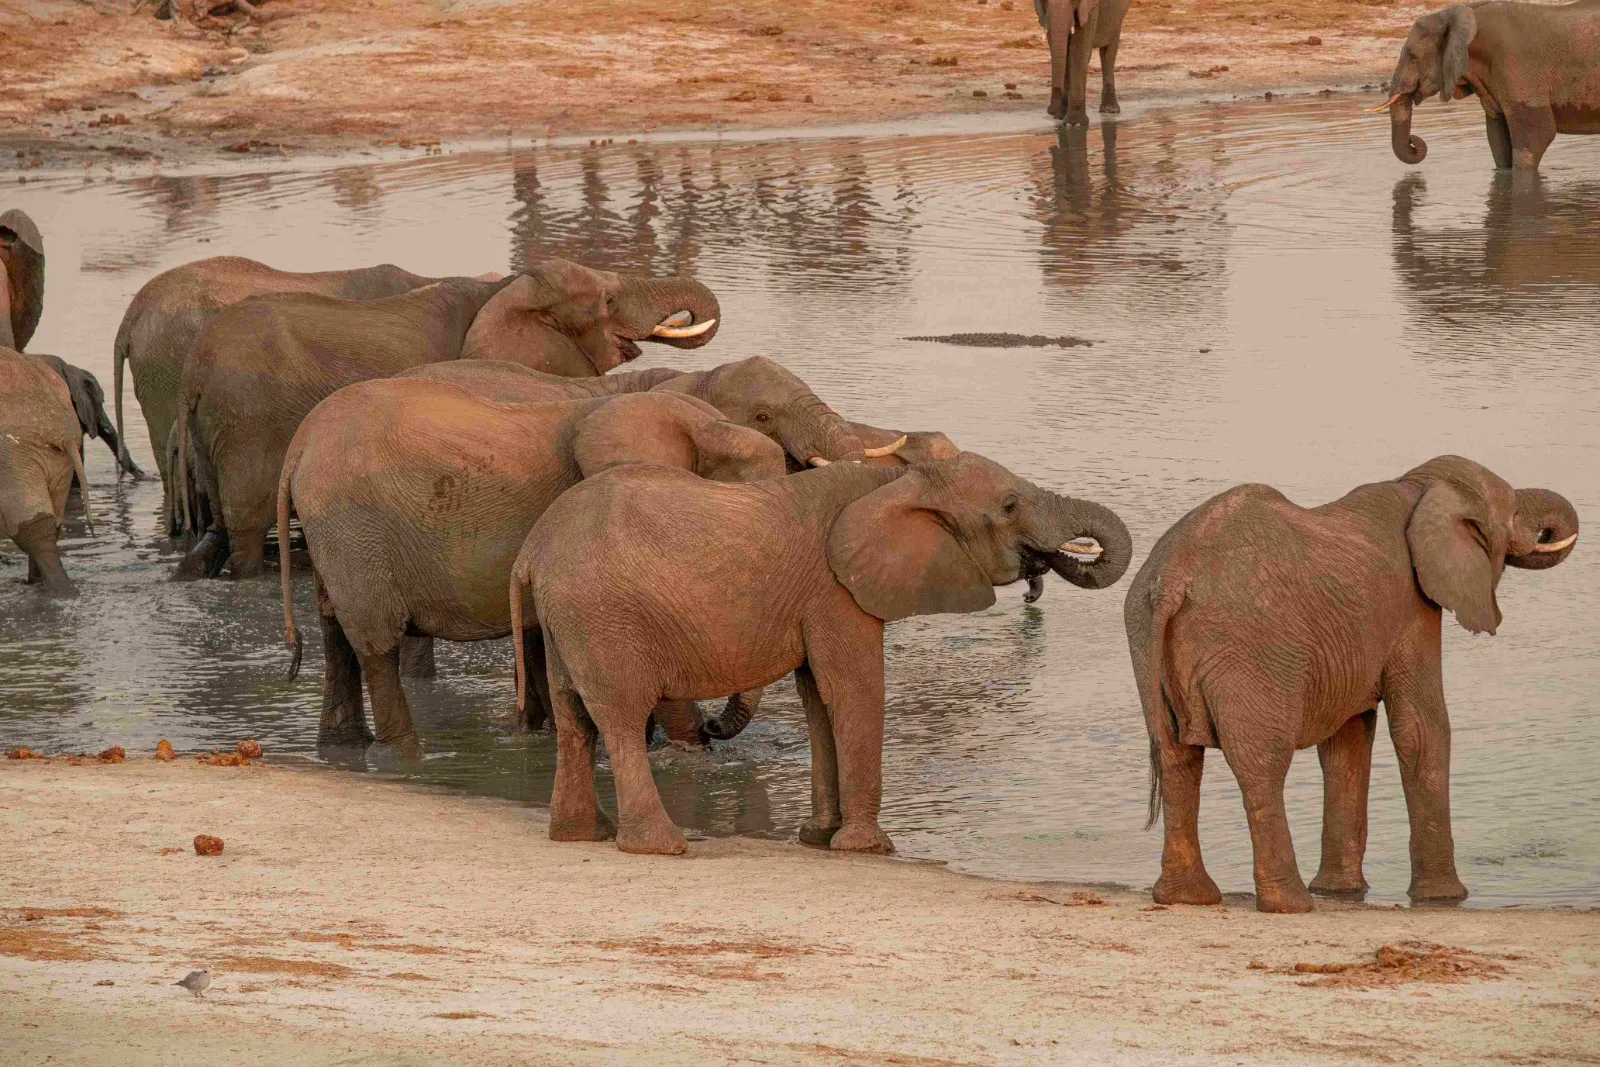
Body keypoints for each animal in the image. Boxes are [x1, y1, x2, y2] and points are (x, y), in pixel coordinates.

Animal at [1, 348, 96, 597]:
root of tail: (60, 427)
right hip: (59, 459)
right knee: (52, 521)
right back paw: (36, 585)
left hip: (16, 453)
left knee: (33, 528)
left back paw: (63, 592)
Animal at [173, 259, 721, 580]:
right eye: (607, 300)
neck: (509, 286)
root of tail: (193, 371)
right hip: (249, 423)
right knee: (245, 531)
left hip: (214, 428)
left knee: (216, 529)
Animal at [278, 385, 785, 758]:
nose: (714, 724)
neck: (704, 424)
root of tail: (299, 445)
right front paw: (688, 753)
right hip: (352, 526)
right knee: (376, 641)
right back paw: (400, 756)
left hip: (334, 533)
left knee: (334, 630)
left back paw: (342, 748)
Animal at [510, 452, 1133, 855]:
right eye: (1008, 506)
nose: (1034, 581)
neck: (897, 479)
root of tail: (531, 549)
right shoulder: (837, 592)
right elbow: (853, 689)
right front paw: (867, 849)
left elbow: (818, 699)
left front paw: (820, 839)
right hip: (602, 618)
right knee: (618, 716)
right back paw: (660, 847)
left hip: (567, 620)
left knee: (574, 718)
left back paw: (579, 836)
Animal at [1125, 456, 1579, 914]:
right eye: (1512, 512)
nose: (1547, 532)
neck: (1418, 486)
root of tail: (1171, 580)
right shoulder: (1412, 608)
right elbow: (1421, 730)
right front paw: (1445, 898)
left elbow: (1346, 744)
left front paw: (1341, 892)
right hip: (1249, 650)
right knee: (1261, 763)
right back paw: (1292, 904)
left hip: (1143, 636)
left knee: (1177, 757)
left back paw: (1188, 898)